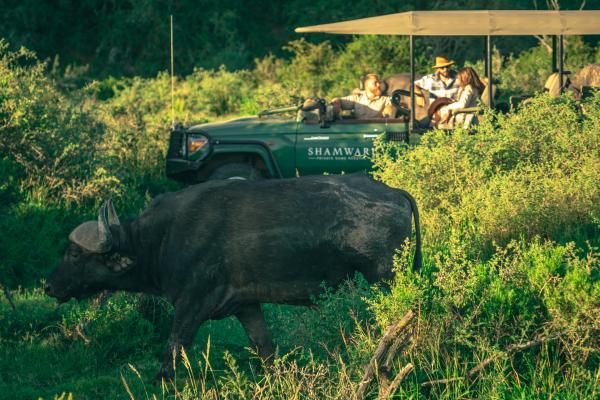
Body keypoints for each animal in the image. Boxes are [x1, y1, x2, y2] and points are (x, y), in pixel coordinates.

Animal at [44, 174, 422, 378]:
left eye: (74, 253)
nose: (49, 284)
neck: (162, 238)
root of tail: (394, 192)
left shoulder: (191, 305)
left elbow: (171, 351)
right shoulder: (246, 306)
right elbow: (264, 348)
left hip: (385, 279)